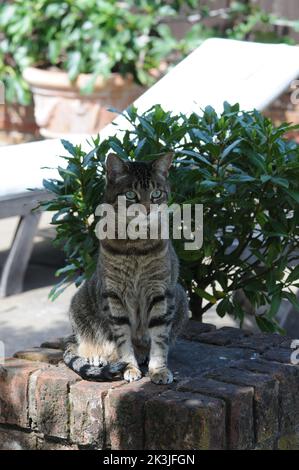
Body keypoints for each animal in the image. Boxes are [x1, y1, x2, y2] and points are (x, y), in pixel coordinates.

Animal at [63, 152, 190, 384]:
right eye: (131, 194)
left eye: (156, 193)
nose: (147, 209)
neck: (136, 245)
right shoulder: (114, 295)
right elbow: (123, 340)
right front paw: (129, 368)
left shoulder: (160, 292)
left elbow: (159, 339)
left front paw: (158, 370)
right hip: (80, 302)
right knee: (83, 344)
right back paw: (97, 355)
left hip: (181, 296)